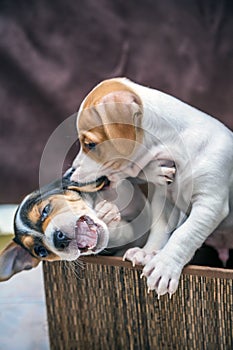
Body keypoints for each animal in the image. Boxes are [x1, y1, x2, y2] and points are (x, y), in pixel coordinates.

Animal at [70, 78, 233, 296]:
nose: (69, 175)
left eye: (90, 144)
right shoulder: (163, 200)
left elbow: (185, 234)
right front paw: (147, 253)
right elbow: (159, 229)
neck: (177, 148)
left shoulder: (209, 204)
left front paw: (165, 265)